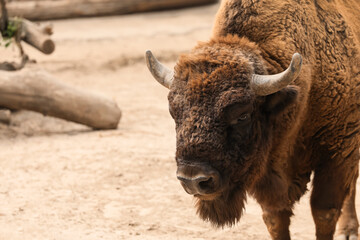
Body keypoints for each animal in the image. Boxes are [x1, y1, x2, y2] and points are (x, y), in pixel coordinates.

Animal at [145, 0, 358, 239]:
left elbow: (324, 212)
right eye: (174, 112)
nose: (193, 180)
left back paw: (349, 230)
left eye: (242, 115)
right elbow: (276, 218)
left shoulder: (339, 151)